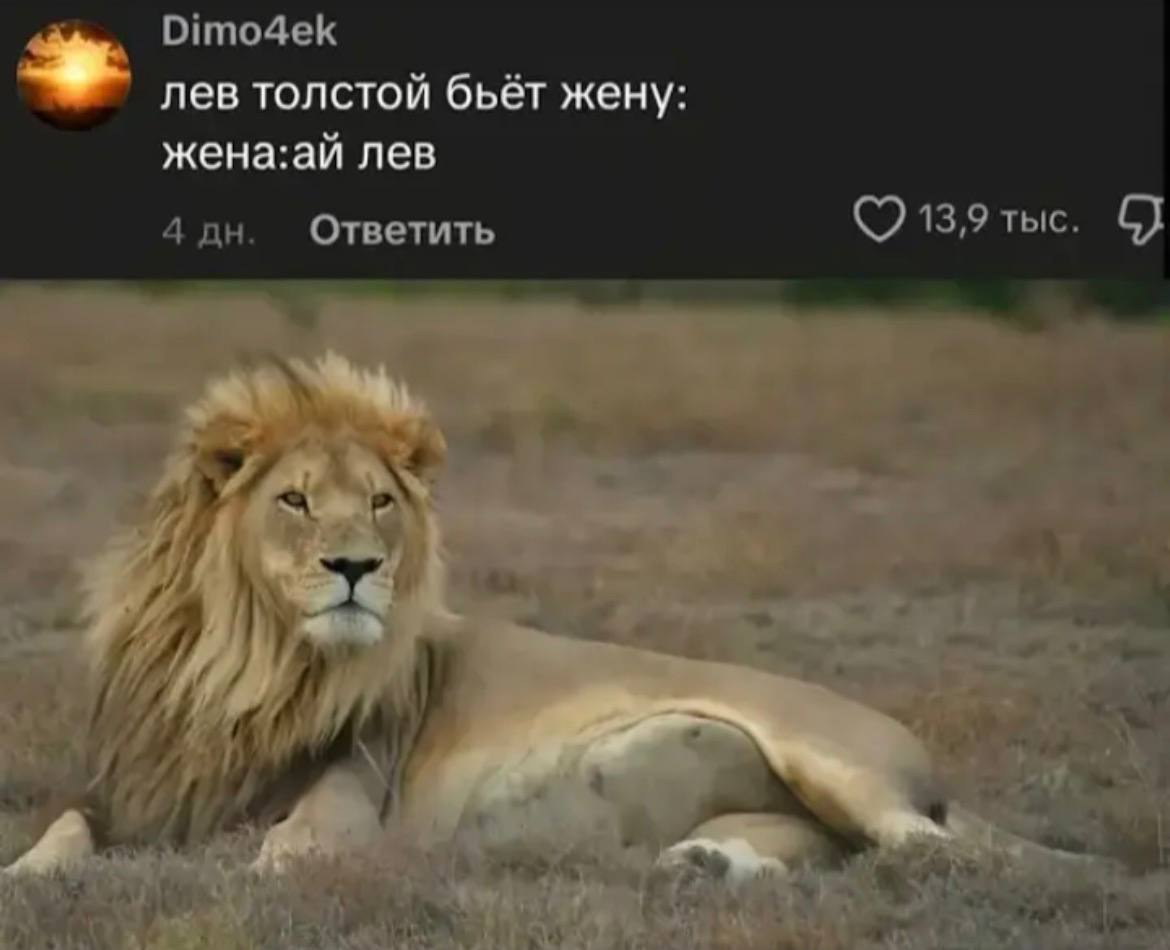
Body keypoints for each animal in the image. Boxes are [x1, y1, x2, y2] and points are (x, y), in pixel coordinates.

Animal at [4, 353, 1107, 882]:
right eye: (296, 500)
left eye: (382, 503)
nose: (358, 567)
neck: (247, 662)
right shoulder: (130, 787)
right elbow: (61, 830)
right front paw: (29, 875)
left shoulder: (351, 799)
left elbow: (284, 855)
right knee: (837, 850)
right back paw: (705, 866)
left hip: (831, 757)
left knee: (923, 846)